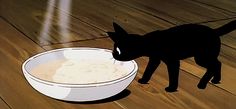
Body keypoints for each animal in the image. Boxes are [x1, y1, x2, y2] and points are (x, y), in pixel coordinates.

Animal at [107, 20, 236, 92]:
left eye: (118, 50)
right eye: (114, 49)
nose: (113, 55)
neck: (150, 42)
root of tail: (214, 31)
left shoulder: (173, 61)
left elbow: (173, 75)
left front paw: (172, 88)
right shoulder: (155, 59)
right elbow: (149, 70)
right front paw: (144, 80)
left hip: (201, 57)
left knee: (214, 65)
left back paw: (202, 84)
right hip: (205, 56)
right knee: (218, 63)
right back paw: (216, 79)